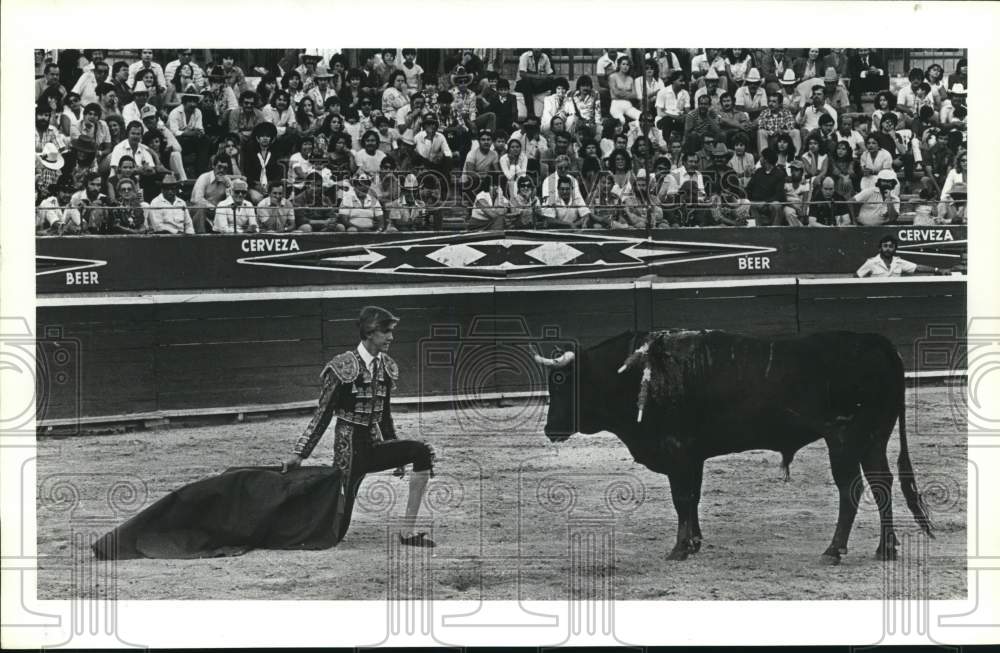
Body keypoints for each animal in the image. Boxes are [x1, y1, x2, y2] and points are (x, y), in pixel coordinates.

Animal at [536, 328, 932, 564]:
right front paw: (694, 542)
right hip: (873, 439)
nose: (550, 429)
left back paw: (833, 551)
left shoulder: (678, 452)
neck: (637, 375)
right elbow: (692, 498)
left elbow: (682, 498)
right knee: (881, 485)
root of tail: (878, 342)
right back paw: (885, 548)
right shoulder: (691, 457)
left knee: (851, 490)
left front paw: (679, 549)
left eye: (563, 381)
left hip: (845, 439)